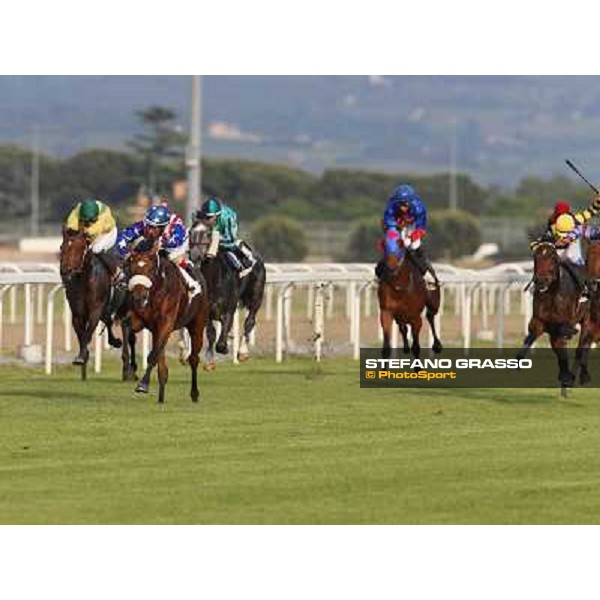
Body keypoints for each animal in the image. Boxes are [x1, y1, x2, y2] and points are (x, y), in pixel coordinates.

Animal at [124, 243, 209, 404]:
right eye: (131, 268)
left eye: (150, 269)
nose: (139, 296)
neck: (156, 292)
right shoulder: (140, 320)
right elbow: (128, 333)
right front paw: (130, 369)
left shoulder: (167, 323)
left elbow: (152, 355)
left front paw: (143, 384)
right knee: (162, 361)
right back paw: (161, 396)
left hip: (197, 324)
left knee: (193, 358)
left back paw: (194, 393)